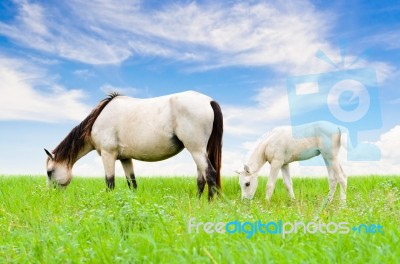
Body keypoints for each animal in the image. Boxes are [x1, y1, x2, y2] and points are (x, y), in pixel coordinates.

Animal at [46, 91, 225, 200]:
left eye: (49, 172)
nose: (51, 196)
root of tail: (209, 101)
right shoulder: (125, 158)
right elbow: (132, 183)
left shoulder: (108, 154)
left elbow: (110, 183)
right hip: (198, 151)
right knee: (201, 179)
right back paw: (198, 202)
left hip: (196, 150)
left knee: (210, 174)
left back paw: (209, 204)